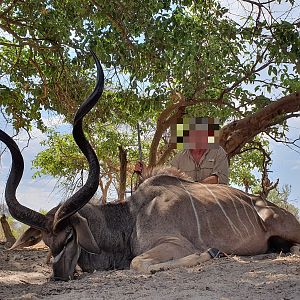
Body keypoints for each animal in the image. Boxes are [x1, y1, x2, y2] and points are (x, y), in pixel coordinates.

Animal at [0, 52, 300, 282]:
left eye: (70, 235)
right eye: (47, 241)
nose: (60, 276)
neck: (130, 218)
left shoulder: (173, 244)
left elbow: (139, 264)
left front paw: (210, 252)